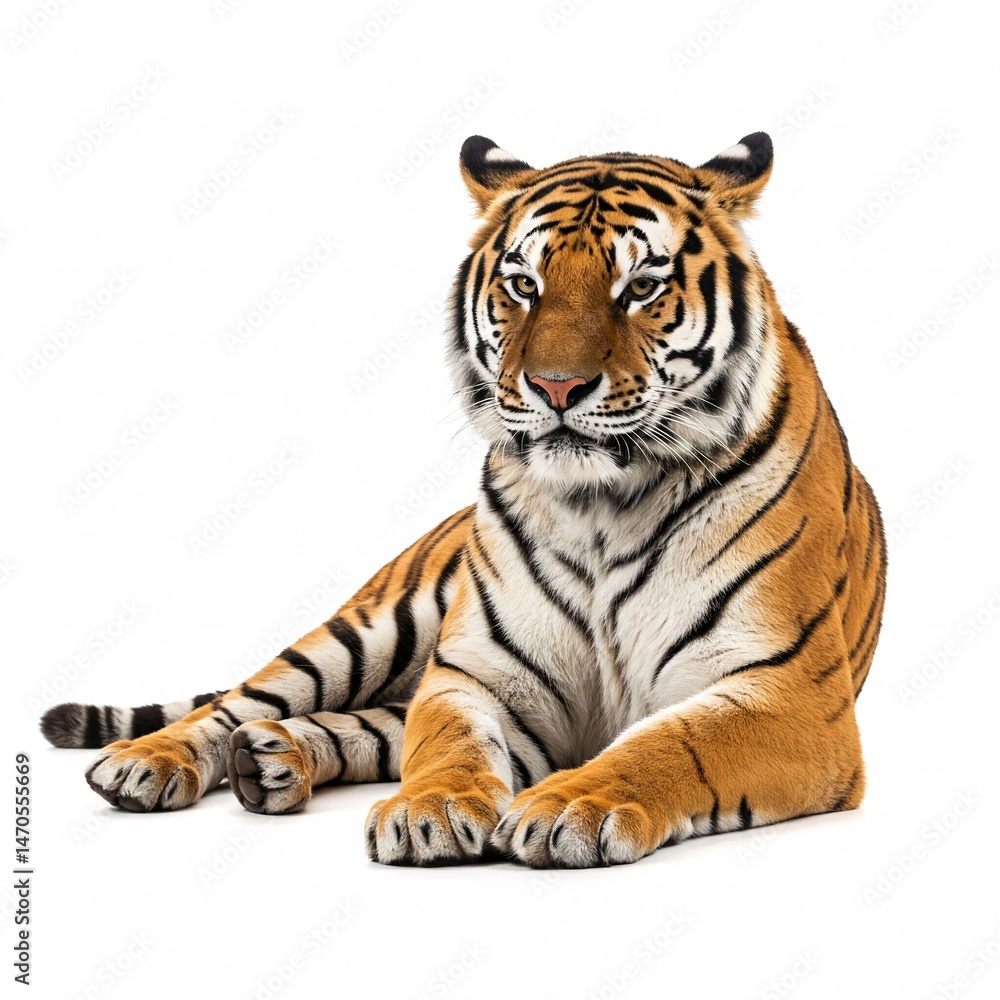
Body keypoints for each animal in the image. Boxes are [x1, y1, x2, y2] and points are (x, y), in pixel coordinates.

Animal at [41, 131, 886, 868]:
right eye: (524, 284)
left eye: (641, 287)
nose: (556, 388)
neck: (604, 506)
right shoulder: (475, 671)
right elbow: (448, 742)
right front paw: (434, 811)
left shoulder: (784, 690)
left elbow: (665, 744)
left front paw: (570, 806)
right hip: (371, 625)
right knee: (238, 703)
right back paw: (150, 762)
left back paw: (273, 760)